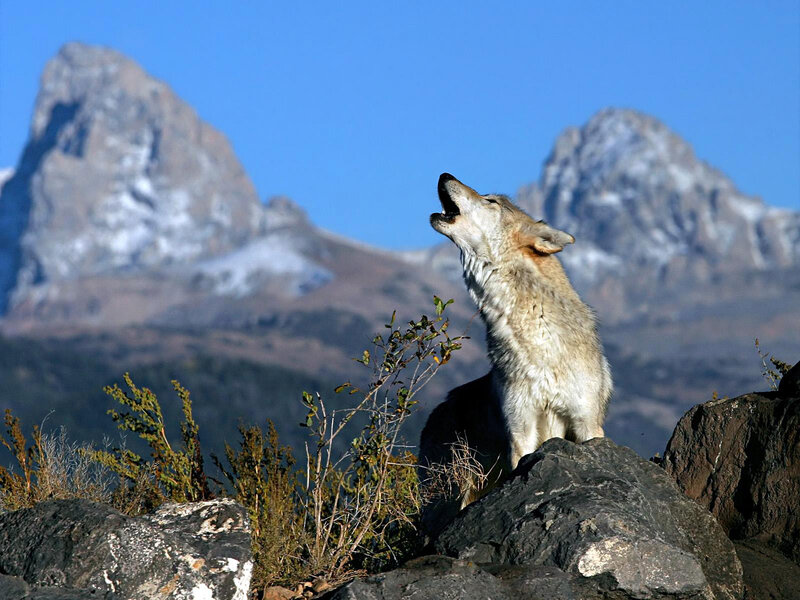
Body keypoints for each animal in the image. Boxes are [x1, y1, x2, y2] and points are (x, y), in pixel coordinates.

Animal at [419, 173, 612, 531]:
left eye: (491, 201)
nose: (444, 175)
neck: (539, 343)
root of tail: (434, 414)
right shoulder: (521, 430)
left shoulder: (587, 424)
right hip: (451, 494)